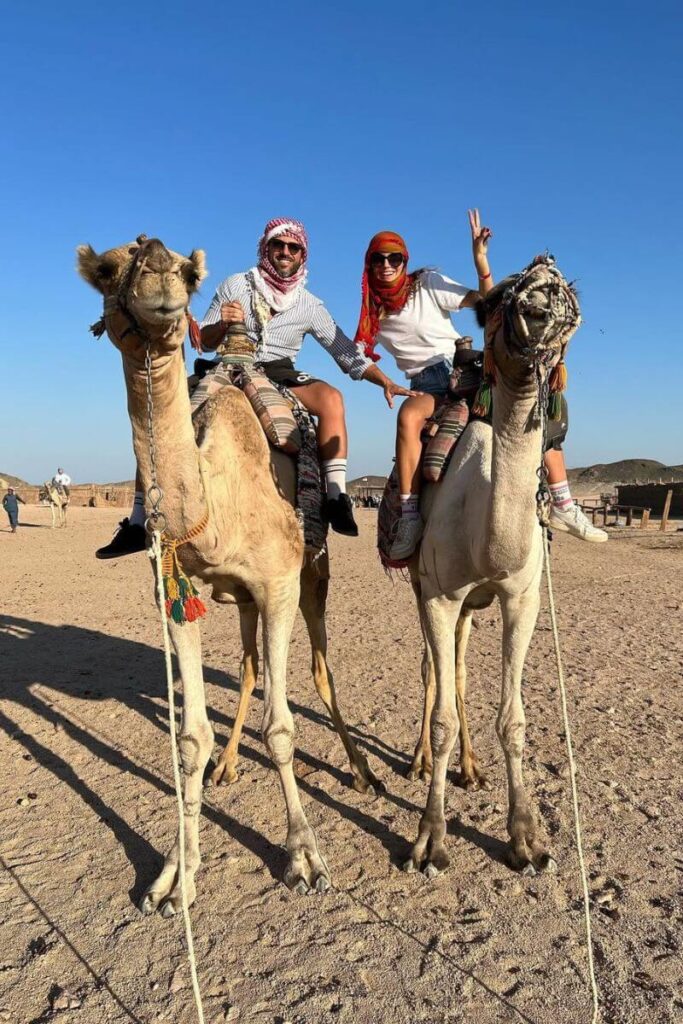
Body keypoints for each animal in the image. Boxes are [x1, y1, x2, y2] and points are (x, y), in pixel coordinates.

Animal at [77, 235, 378, 915]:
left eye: (187, 275)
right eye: (108, 269)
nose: (159, 269)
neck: (215, 504)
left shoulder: (279, 586)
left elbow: (283, 728)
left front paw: (305, 858)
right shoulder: (174, 593)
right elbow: (189, 740)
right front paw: (174, 877)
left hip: (314, 576)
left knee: (320, 670)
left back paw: (361, 771)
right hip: (239, 600)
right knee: (246, 669)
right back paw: (230, 765)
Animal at [403, 257, 581, 878]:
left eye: (566, 285)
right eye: (498, 297)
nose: (546, 282)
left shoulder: (520, 597)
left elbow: (514, 719)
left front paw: (526, 840)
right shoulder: (438, 594)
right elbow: (440, 714)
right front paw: (430, 840)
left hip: (472, 606)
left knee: (455, 666)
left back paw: (471, 767)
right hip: (423, 588)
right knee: (434, 670)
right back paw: (419, 763)